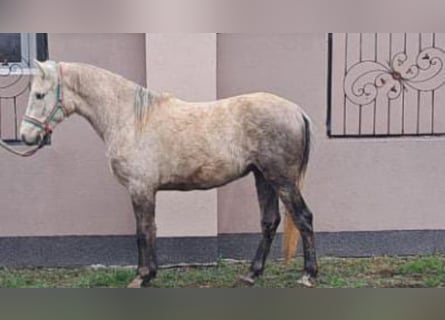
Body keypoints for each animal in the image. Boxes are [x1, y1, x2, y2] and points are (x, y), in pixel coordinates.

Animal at [18, 60, 316, 288]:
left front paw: (142, 277)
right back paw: (251, 274)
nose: (25, 136)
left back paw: (308, 275)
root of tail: (297, 111)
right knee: (269, 221)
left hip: (282, 179)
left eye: (40, 95)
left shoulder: (140, 188)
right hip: (263, 176)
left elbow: (143, 231)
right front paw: (148, 274)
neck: (131, 119)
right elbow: (149, 230)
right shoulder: (144, 189)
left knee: (303, 217)